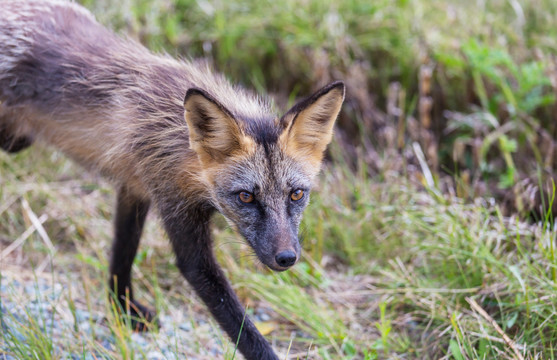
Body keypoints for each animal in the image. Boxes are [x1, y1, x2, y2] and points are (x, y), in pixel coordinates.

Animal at [0, 1, 346, 358]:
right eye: (246, 197)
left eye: (296, 194)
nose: (287, 258)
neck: (174, 136)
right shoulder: (177, 211)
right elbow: (241, 327)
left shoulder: (135, 187)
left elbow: (122, 253)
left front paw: (122, 311)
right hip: (14, 140)